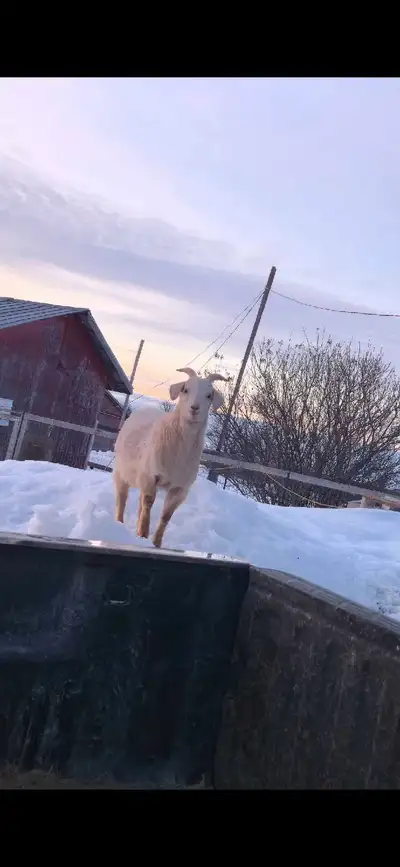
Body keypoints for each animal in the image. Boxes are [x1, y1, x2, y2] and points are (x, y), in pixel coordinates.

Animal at [113, 367, 228, 548]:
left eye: (209, 395)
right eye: (185, 389)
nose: (194, 408)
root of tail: (145, 409)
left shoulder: (180, 488)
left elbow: (166, 515)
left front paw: (155, 543)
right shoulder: (150, 476)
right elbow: (148, 503)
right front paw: (143, 534)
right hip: (122, 471)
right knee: (122, 498)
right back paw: (119, 523)